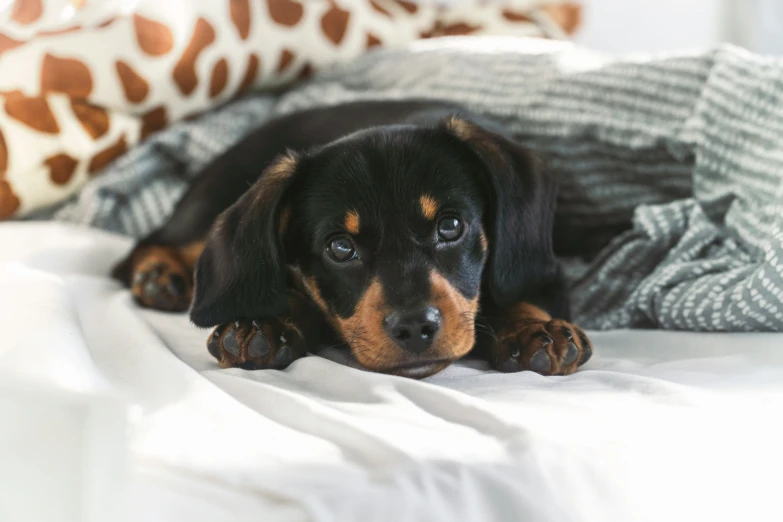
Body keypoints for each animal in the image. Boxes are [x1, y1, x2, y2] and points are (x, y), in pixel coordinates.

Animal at [113, 100, 592, 378]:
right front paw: (265, 325)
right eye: (341, 248)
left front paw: (532, 328)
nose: (415, 328)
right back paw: (161, 276)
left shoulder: (544, 269)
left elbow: (518, 294)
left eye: (451, 226)